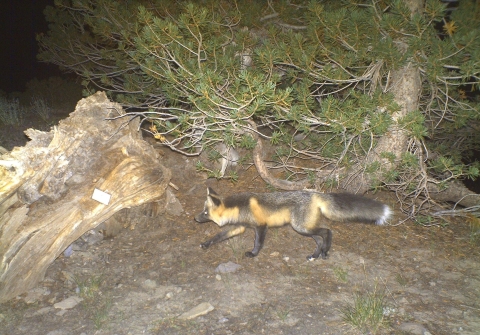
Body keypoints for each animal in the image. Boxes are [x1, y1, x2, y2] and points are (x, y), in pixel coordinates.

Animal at [194, 188, 390, 262]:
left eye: (205, 213)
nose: (195, 219)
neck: (238, 207)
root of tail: (315, 193)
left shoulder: (261, 226)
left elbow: (258, 243)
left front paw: (254, 254)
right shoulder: (238, 227)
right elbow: (218, 236)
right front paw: (206, 244)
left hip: (300, 227)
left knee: (327, 231)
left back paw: (325, 252)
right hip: (304, 229)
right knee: (320, 238)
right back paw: (315, 255)